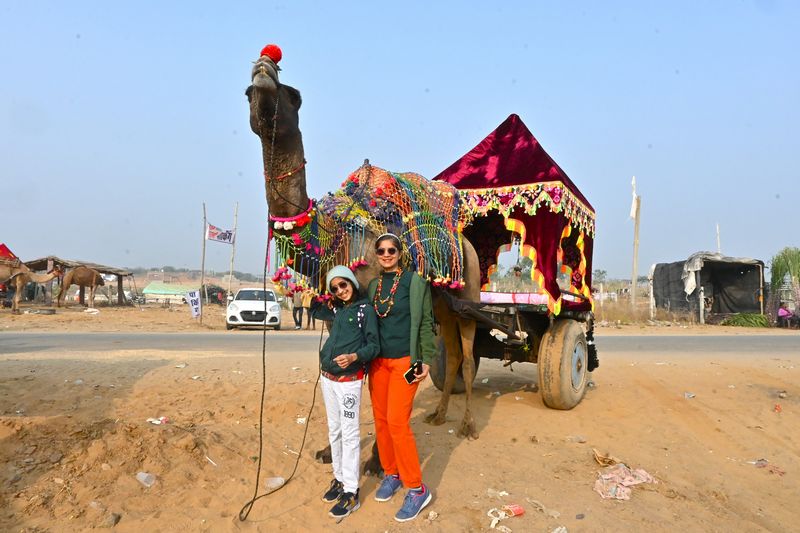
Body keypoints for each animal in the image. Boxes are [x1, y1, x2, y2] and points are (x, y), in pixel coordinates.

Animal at [245, 44, 482, 436]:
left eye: (293, 95)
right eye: (248, 91)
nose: (264, 66)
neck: (331, 234)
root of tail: (468, 245)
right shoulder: (332, 310)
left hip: (470, 292)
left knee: (466, 357)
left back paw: (466, 425)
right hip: (443, 304)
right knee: (450, 352)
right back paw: (438, 414)